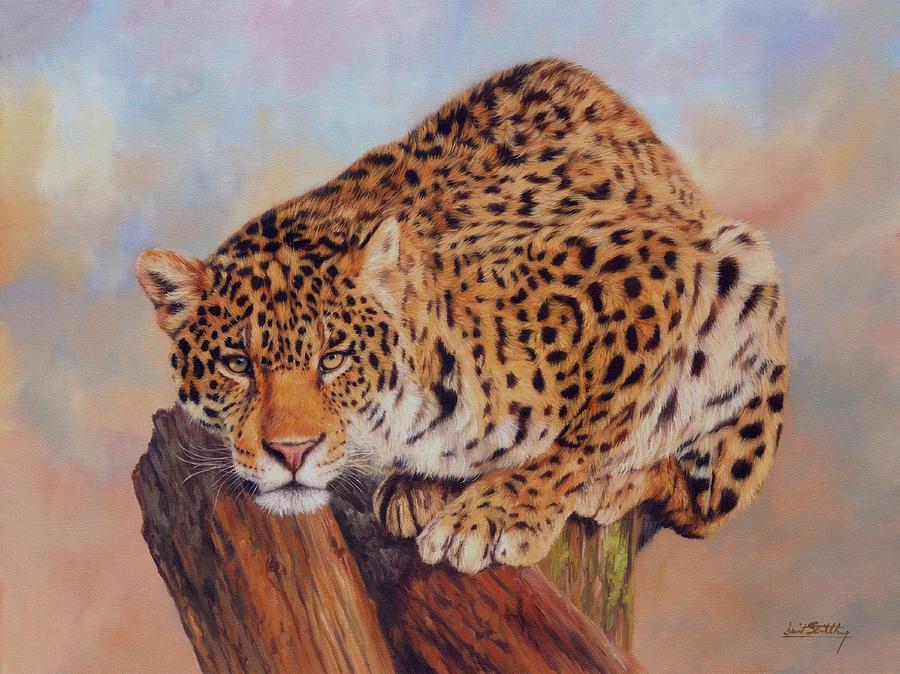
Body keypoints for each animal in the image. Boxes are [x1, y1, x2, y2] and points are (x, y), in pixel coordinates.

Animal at [137, 58, 789, 573]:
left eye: (334, 359)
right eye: (236, 364)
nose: (290, 453)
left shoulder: (654, 269)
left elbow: (586, 429)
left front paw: (495, 515)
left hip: (743, 271)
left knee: (699, 499)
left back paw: (616, 483)